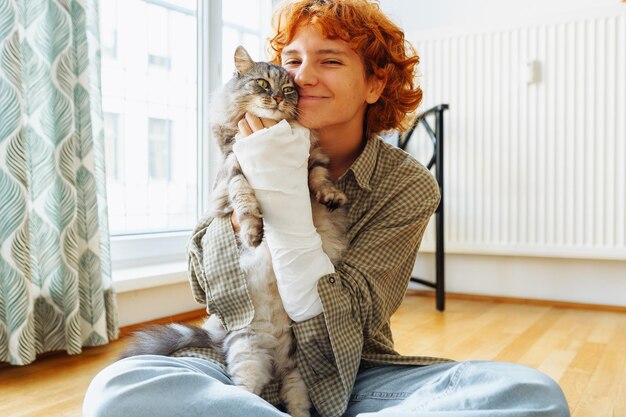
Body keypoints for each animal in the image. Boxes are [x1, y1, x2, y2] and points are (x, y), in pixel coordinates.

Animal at [119, 45, 348, 416]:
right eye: (262, 84)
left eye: (288, 90)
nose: (276, 98)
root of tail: (275, 350)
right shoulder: (235, 167)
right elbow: (244, 201)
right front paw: (254, 232)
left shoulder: (312, 158)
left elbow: (319, 179)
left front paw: (330, 196)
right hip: (249, 353)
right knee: (245, 394)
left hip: (297, 372)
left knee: (295, 404)